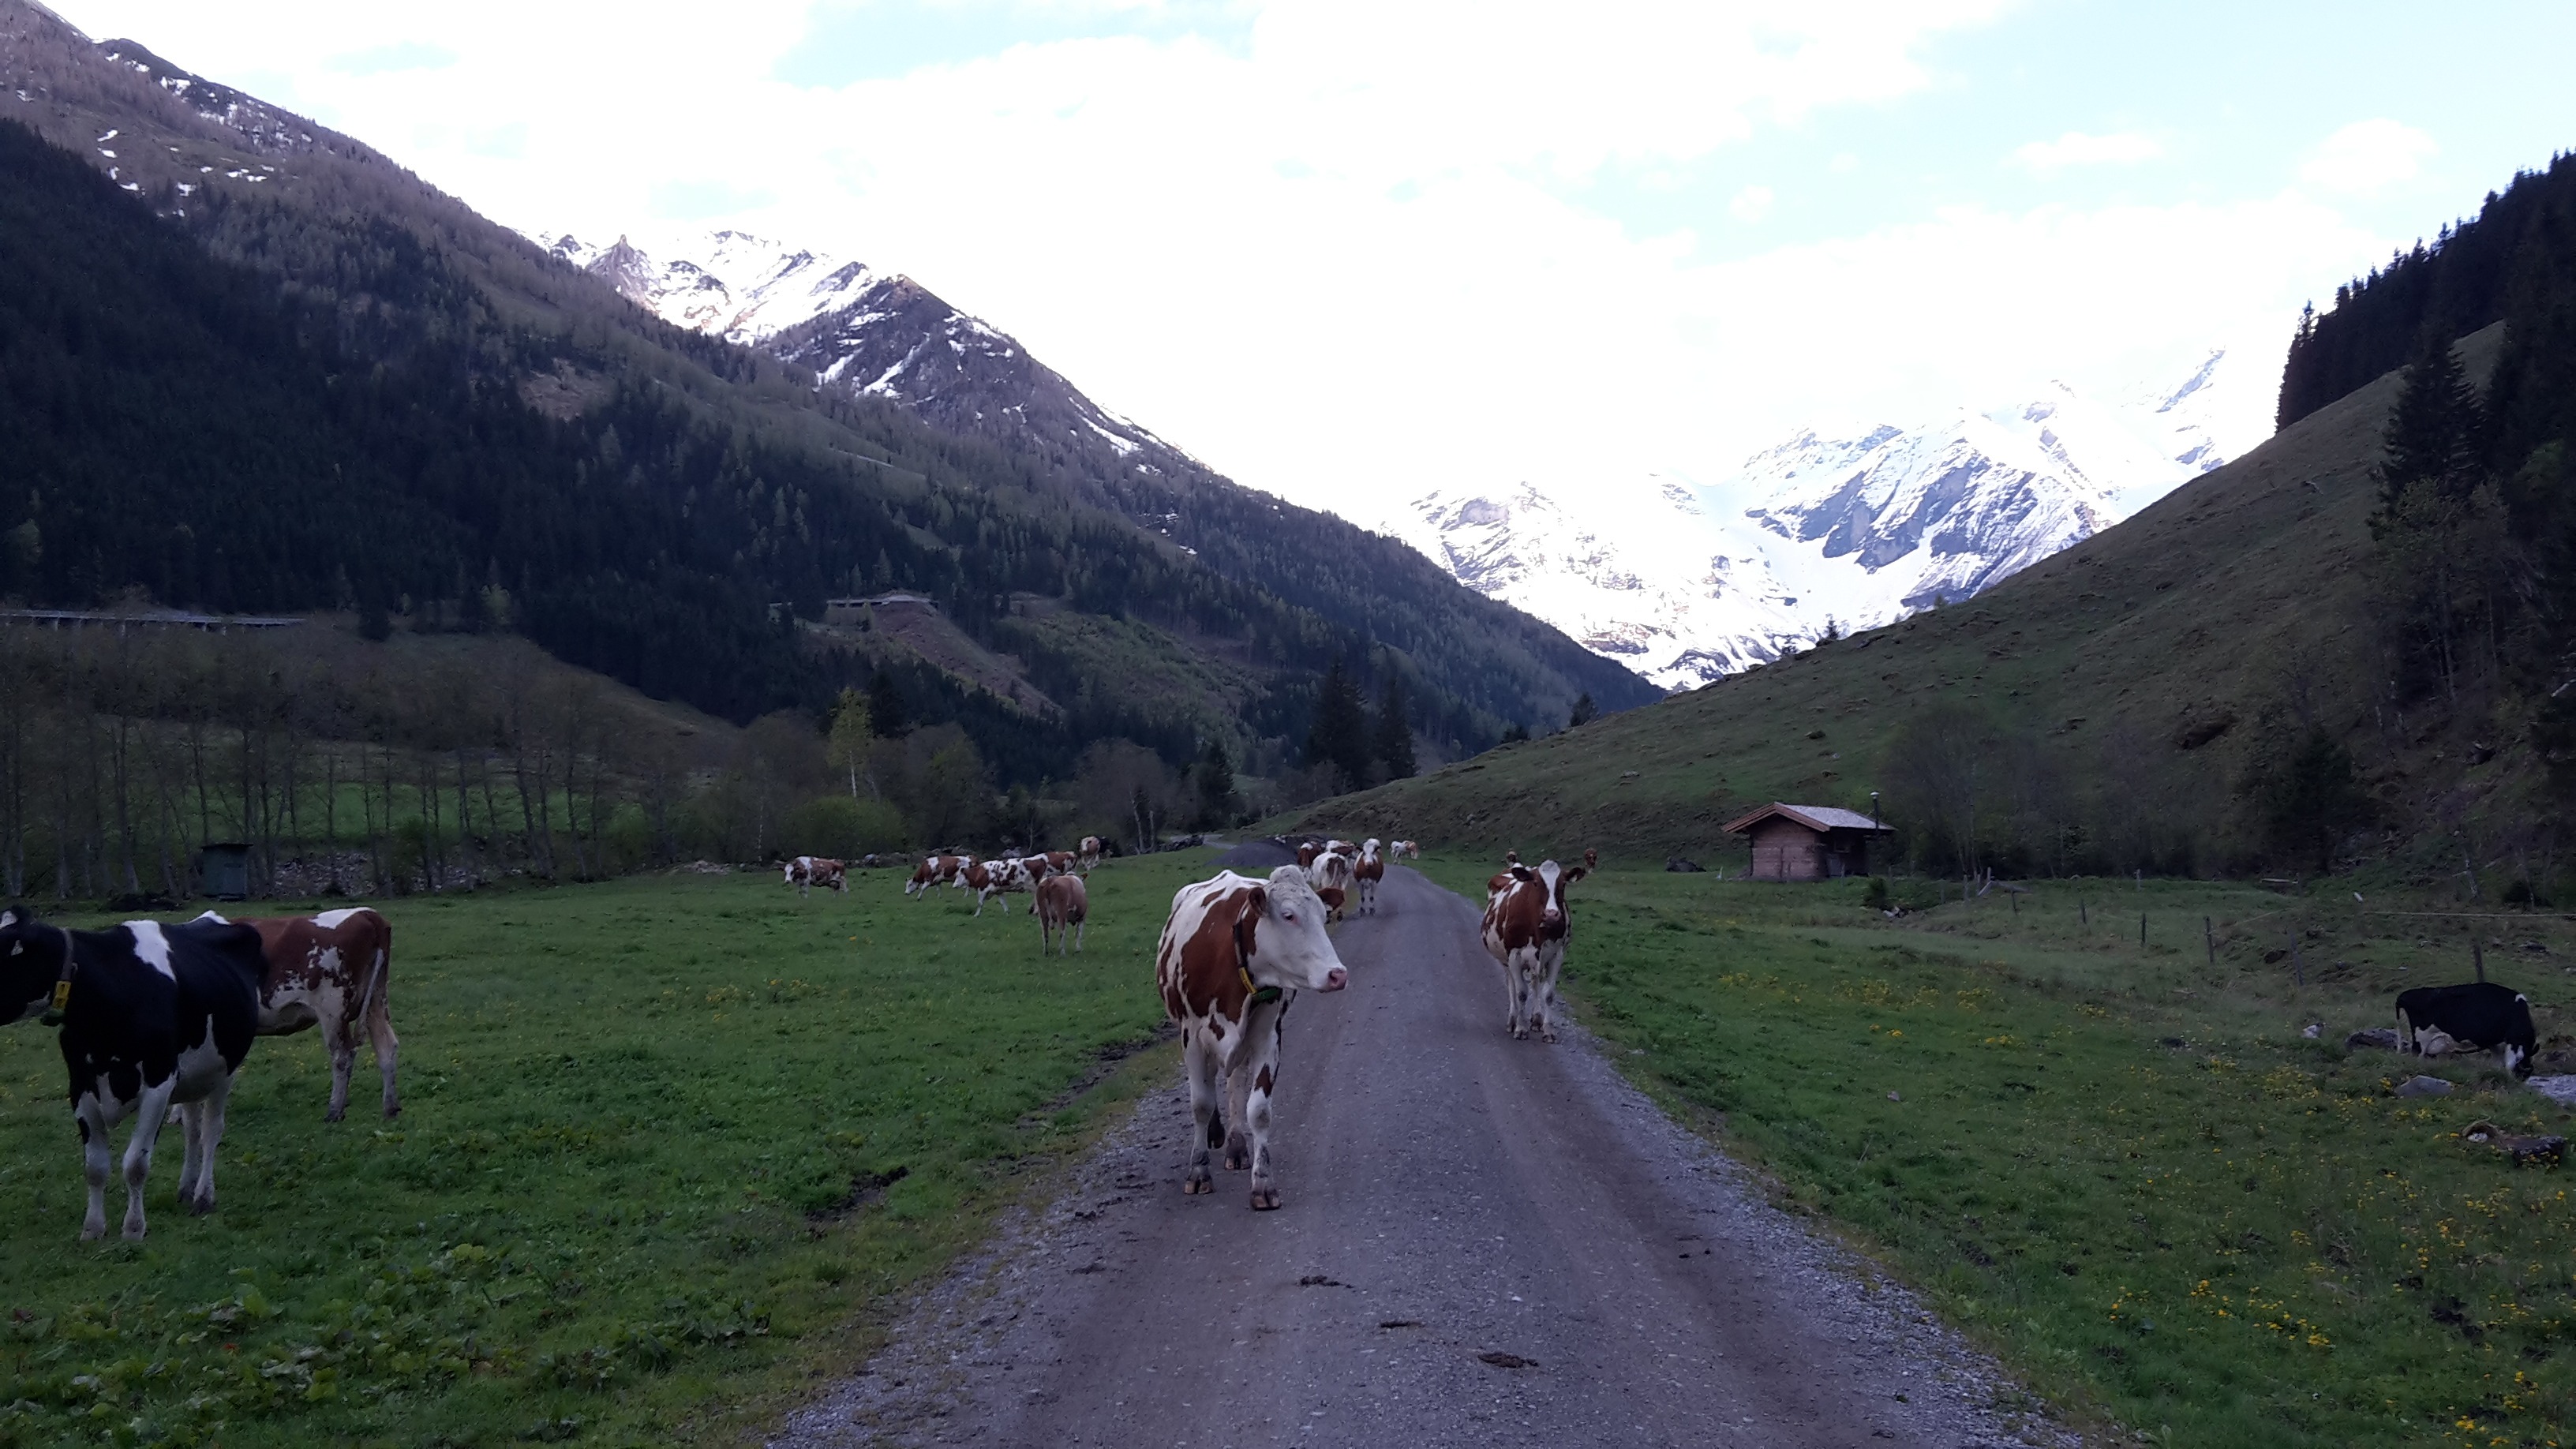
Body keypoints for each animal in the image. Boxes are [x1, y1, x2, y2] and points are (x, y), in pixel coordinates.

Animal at [0, 902, 266, 1227]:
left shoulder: (159, 1080)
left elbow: (136, 1163)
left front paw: (134, 1227)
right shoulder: (80, 1084)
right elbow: (95, 1165)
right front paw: (93, 1228)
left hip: (225, 1070)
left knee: (210, 1131)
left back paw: (204, 1195)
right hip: (194, 1075)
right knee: (191, 1129)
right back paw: (186, 1188)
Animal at [235, 902, 402, 1118]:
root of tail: (366, 914)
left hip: (333, 1009)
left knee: (342, 1055)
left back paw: (334, 1112)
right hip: (376, 997)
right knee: (387, 1046)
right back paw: (390, 1108)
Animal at [1154, 861, 1350, 1201]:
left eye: (1323, 916)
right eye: (1288, 915)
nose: (1337, 975)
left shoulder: (1267, 1037)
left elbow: (1258, 1110)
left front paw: (1263, 1182)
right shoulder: (1192, 1037)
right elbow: (1201, 1104)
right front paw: (1199, 1170)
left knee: (1234, 1083)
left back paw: (1235, 1145)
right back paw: (1217, 1134)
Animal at [1484, 856, 1576, 1036]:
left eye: (1563, 884)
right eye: (1535, 883)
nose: (1551, 914)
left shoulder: (1557, 955)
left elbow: (1549, 994)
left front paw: (1548, 1030)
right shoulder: (1514, 955)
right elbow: (1521, 993)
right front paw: (1520, 1028)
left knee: (1535, 981)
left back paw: (1537, 1019)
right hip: (1505, 960)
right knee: (1512, 986)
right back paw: (1512, 1021)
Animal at [2390, 979, 2534, 1073]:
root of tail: (2405, 995)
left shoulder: (2494, 1043)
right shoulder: (2512, 1041)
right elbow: (2509, 1062)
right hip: (2422, 1038)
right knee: (2416, 1055)